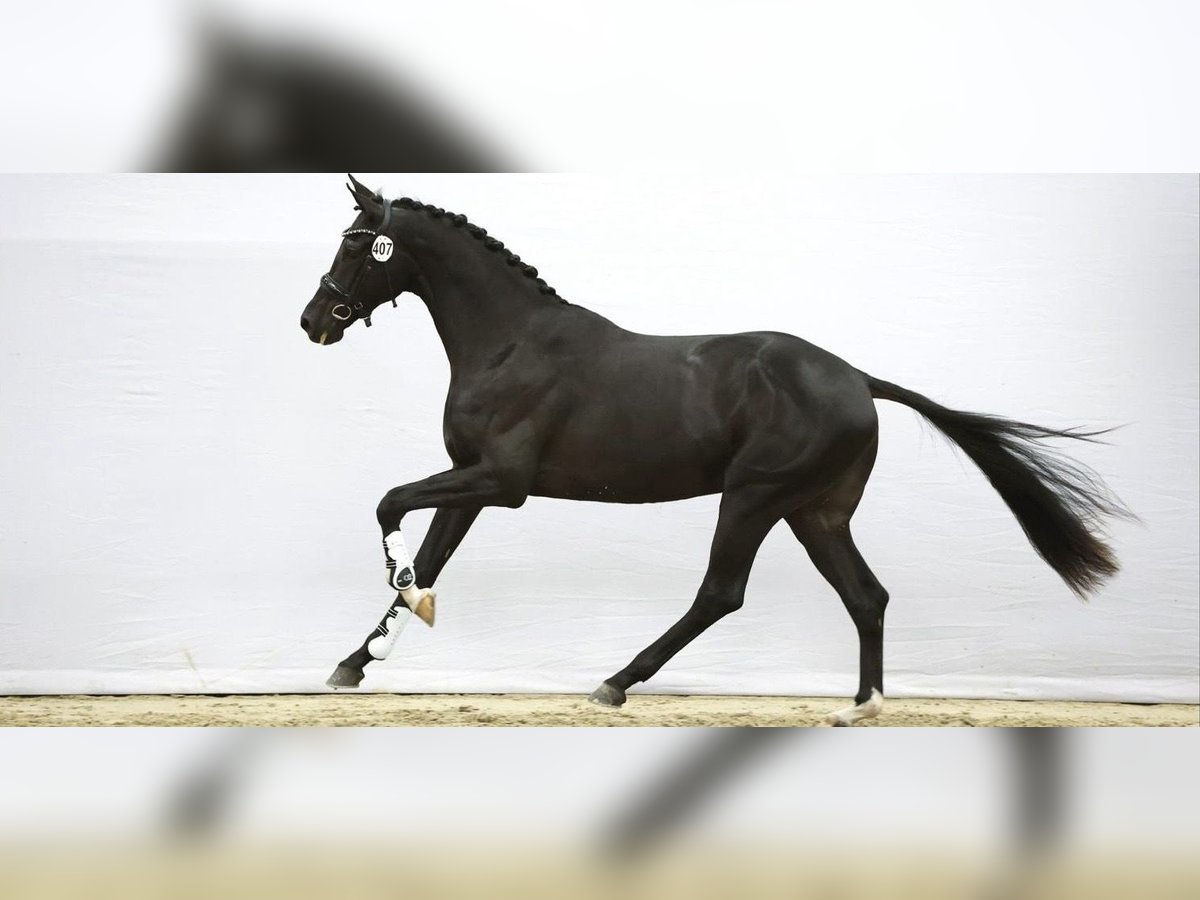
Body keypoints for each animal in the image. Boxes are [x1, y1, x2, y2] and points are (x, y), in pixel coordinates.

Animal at [299, 175, 1130, 725]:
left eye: (357, 248)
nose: (313, 320)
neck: (510, 344)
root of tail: (856, 378)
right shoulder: (472, 481)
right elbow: (429, 556)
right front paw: (357, 660)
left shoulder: (501, 481)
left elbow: (390, 506)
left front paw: (397, 613)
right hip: (816, 513)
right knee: (866, 596)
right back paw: (861, 706)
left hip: (755, 496)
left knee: (721, 593)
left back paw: (615, 682)